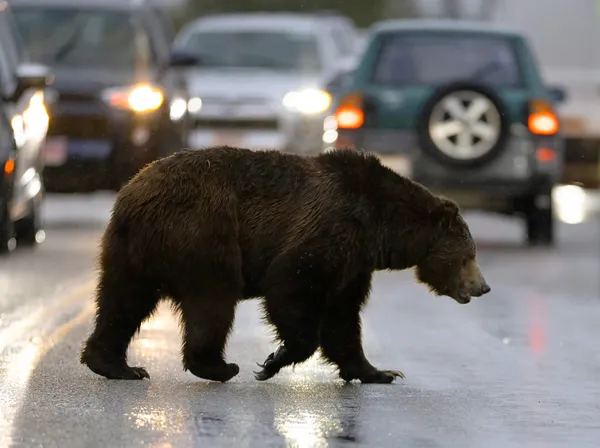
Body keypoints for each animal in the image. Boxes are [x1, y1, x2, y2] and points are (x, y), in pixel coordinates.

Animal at [79, 147, 490, 384]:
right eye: (469, 255)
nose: (483, 286)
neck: (380, 227)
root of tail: (133, 193)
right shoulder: (328, 229)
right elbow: (291, 285)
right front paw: (273, 361)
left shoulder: (354, 263)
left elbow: (343, 318)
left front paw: (380, 372)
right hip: (203, 230)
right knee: (212, 299)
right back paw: (219, 366)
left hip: (133, 250)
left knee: (122, 300)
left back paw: (116, 365)